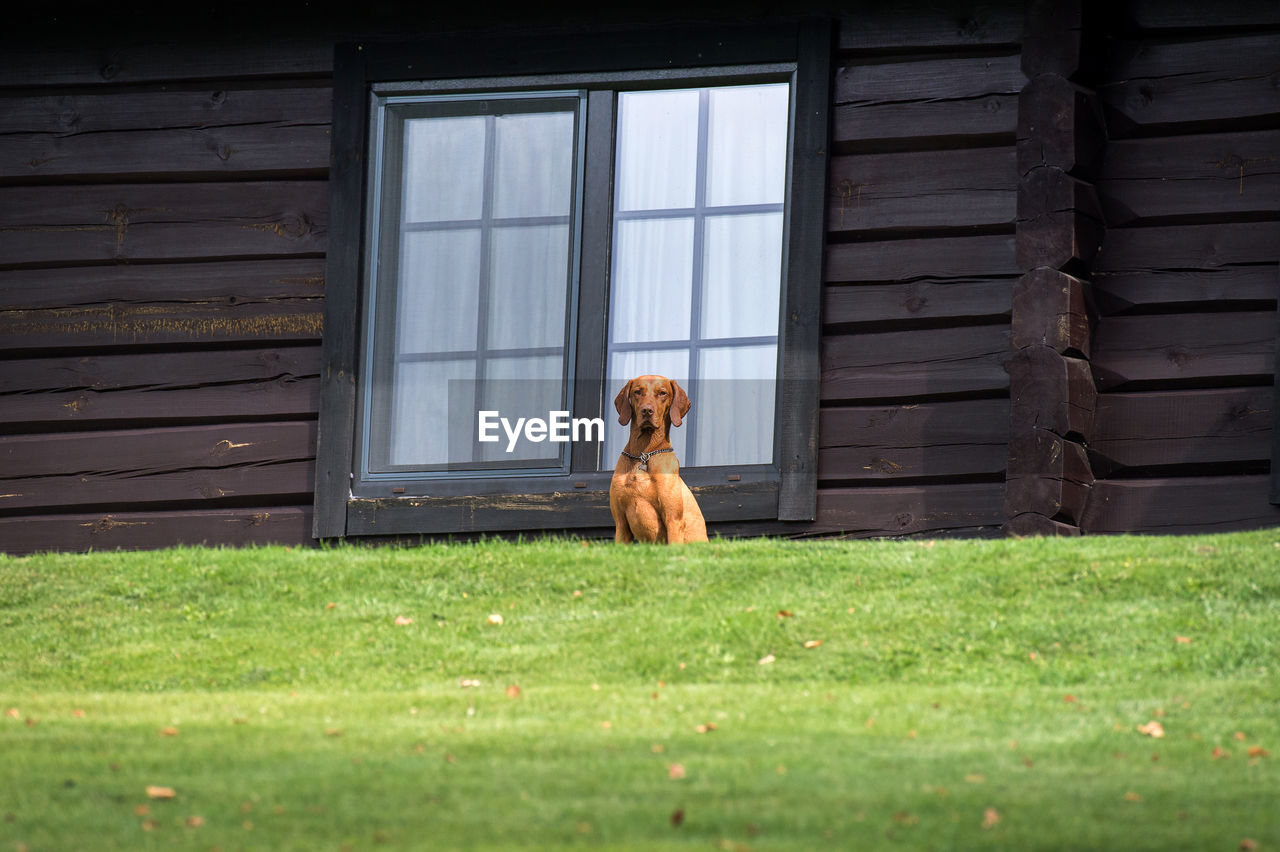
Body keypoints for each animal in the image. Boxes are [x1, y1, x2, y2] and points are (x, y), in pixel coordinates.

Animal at [604, 373, 706, 544]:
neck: (643, 454)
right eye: (637, 391)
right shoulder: (620, 523)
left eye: (663, 393)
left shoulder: (673, 520)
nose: (647, 410)